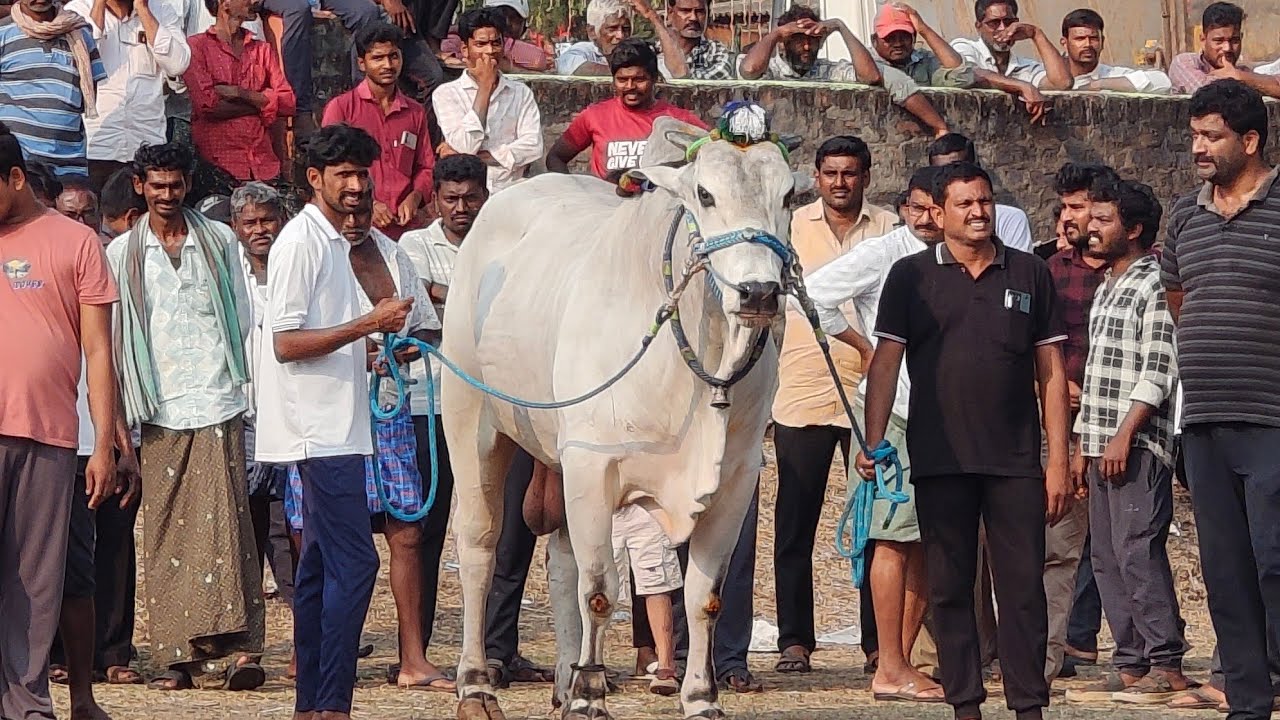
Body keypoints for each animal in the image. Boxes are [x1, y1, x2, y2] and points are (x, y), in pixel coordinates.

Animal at [441, 105, 800, 720]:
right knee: (478, 547)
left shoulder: (736, 480)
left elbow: (704, 597)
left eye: (789, 195)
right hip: (472, 420)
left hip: (555, 458)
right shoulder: (593, 466)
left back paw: (563, 681)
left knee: (560, 556)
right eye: (705, 193)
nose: (758, 292)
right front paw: (590, 695)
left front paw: (700, 696)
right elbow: (600, 590)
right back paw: (477, 685)